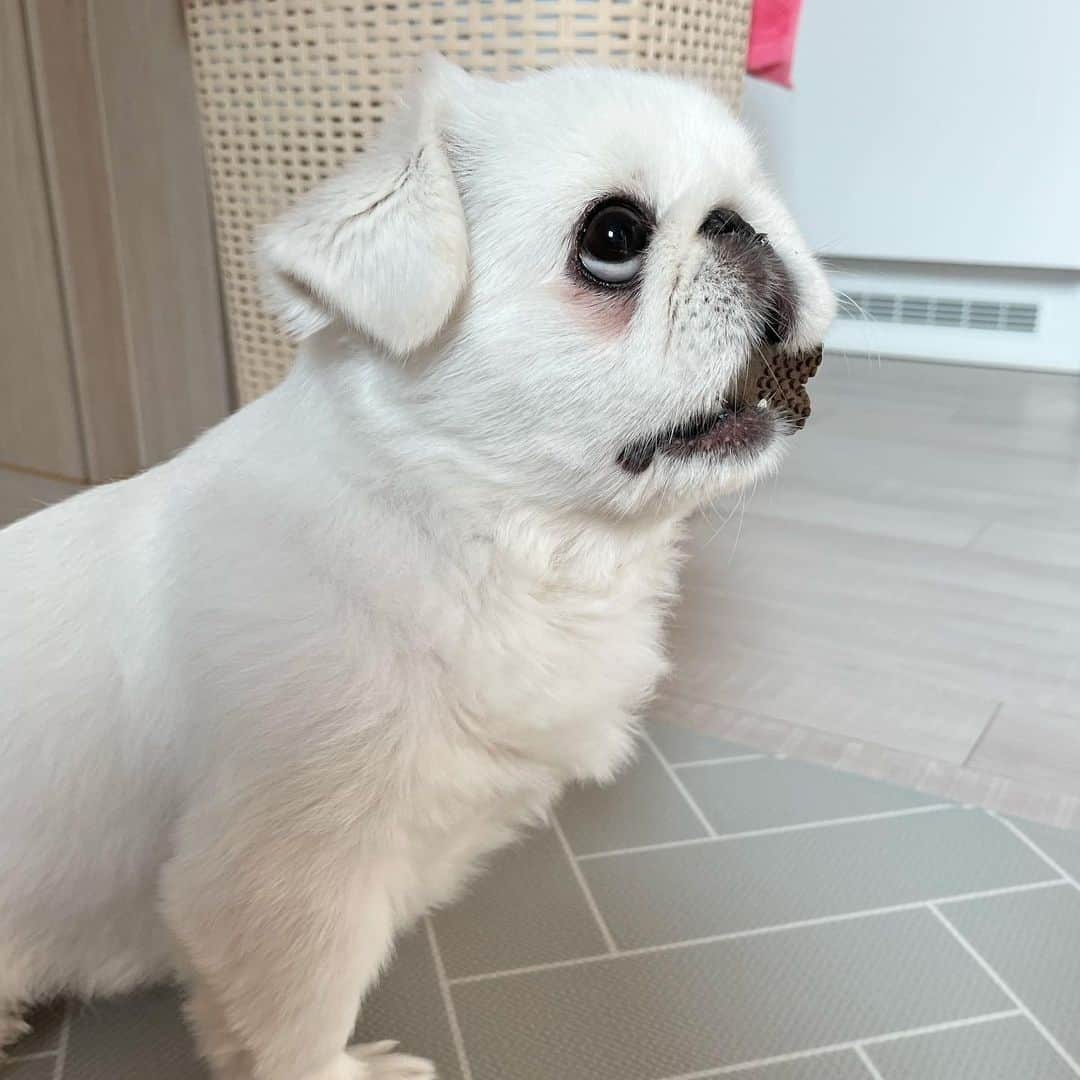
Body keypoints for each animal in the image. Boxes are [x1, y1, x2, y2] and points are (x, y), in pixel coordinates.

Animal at [0, 56, 833, 1080]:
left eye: (757, 194)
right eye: (612, 238)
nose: (741, 223)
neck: (479, 538)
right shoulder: (277, 886)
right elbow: (299, 1026)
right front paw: (350, 1072)